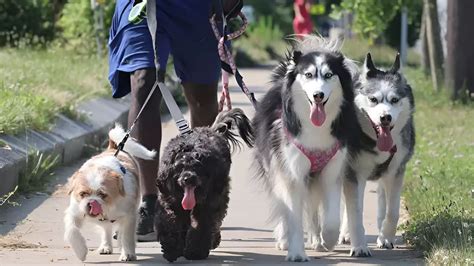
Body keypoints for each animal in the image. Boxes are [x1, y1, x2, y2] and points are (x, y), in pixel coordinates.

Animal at [63, 124, 155, 262]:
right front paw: (81, 252)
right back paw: (106, 246)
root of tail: (114, 149)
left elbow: (127, 236)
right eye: (83, 194)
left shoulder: (129, 216)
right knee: (106, 229)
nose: (91, 203)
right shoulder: (75, 212)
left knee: (120, 232)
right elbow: (71, 230)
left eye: (103, 195)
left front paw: (128, 253)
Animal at [156, 108, 254, 262]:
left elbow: (202, 225)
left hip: (220, 193)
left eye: (197, 167)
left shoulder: (208, 203)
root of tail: (212, 130)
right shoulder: (169, 200)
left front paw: (195, 252)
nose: (188, 179)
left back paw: (213, 240)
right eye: (179, 167)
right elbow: (168, 222)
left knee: (216, 220)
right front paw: (172, 248)